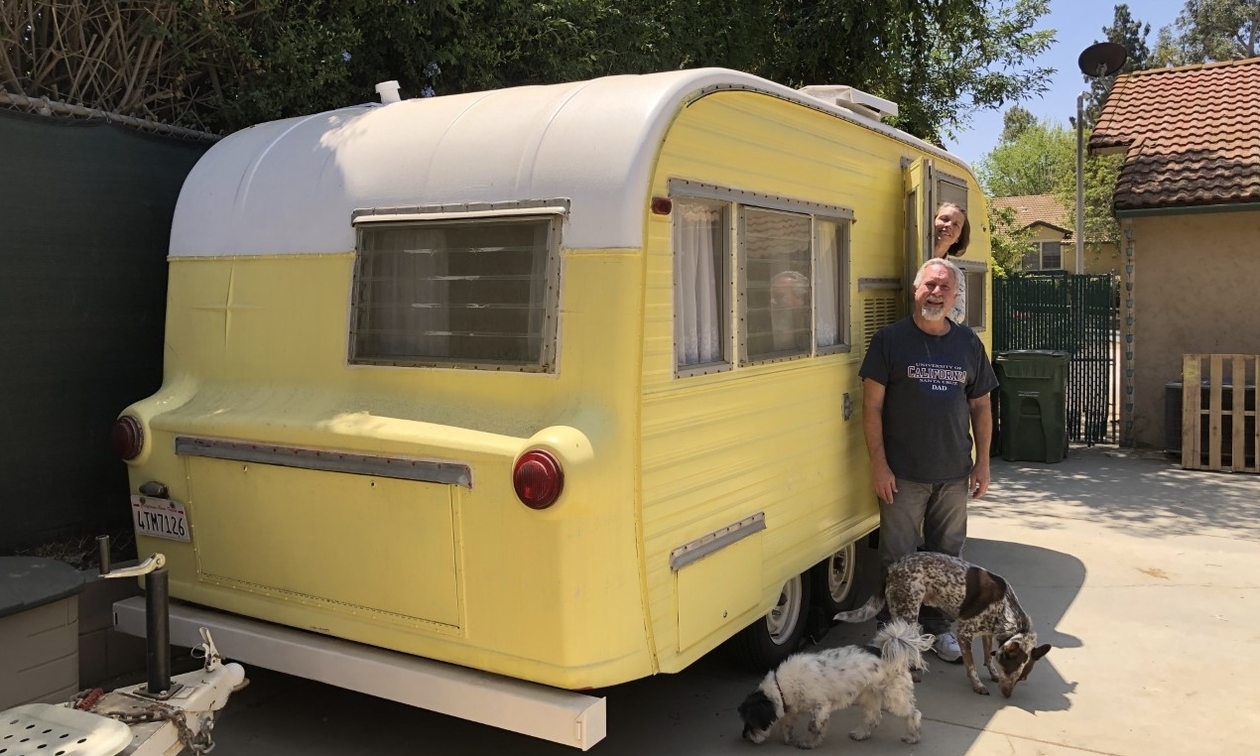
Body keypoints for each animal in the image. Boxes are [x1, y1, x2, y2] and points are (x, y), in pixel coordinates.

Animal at [735, 617, 937, 745]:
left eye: (750, 722)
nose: (744, 735)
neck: (781, 687)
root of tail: (886, 652)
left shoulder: (820, 707)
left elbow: (813, 726)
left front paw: (807, 742)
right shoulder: (790, 706)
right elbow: (787, 722)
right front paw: (787, 737)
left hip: (895, 697)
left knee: (913, 714)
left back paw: (912, 736)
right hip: (869, 695)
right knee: (873, 717)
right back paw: (861, 734)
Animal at [831, 549, 1048, 695]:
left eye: (1022, 677)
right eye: (1010, 670)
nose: (1007, 694)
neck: (1005, 606)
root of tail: (893, 566)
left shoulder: (987, 632)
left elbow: (987, 656)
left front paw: (992, 673)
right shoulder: (964, 633)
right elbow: (971, 666)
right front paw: (977, 684)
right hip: (908, 614)